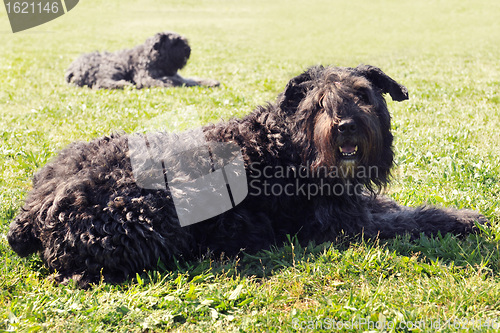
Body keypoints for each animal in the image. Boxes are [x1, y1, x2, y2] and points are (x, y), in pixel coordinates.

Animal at [6, 64, 484, 286]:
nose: (346, 126)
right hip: (156, 212)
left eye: (363, 95)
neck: (290, 145)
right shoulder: (346, 225)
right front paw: (462, 219)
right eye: (319, 103)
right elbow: (409, 219)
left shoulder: (354, 203)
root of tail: (32, 213)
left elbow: (394, 206)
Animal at [64, 31, 219, 89]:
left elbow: (193, 79)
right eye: (175, 42)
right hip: (112, 67)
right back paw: (125, 84)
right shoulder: (146, 77)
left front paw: (210, 81)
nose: (188, 49)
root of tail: (72, 68)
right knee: (101, 83)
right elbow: (173, 81)